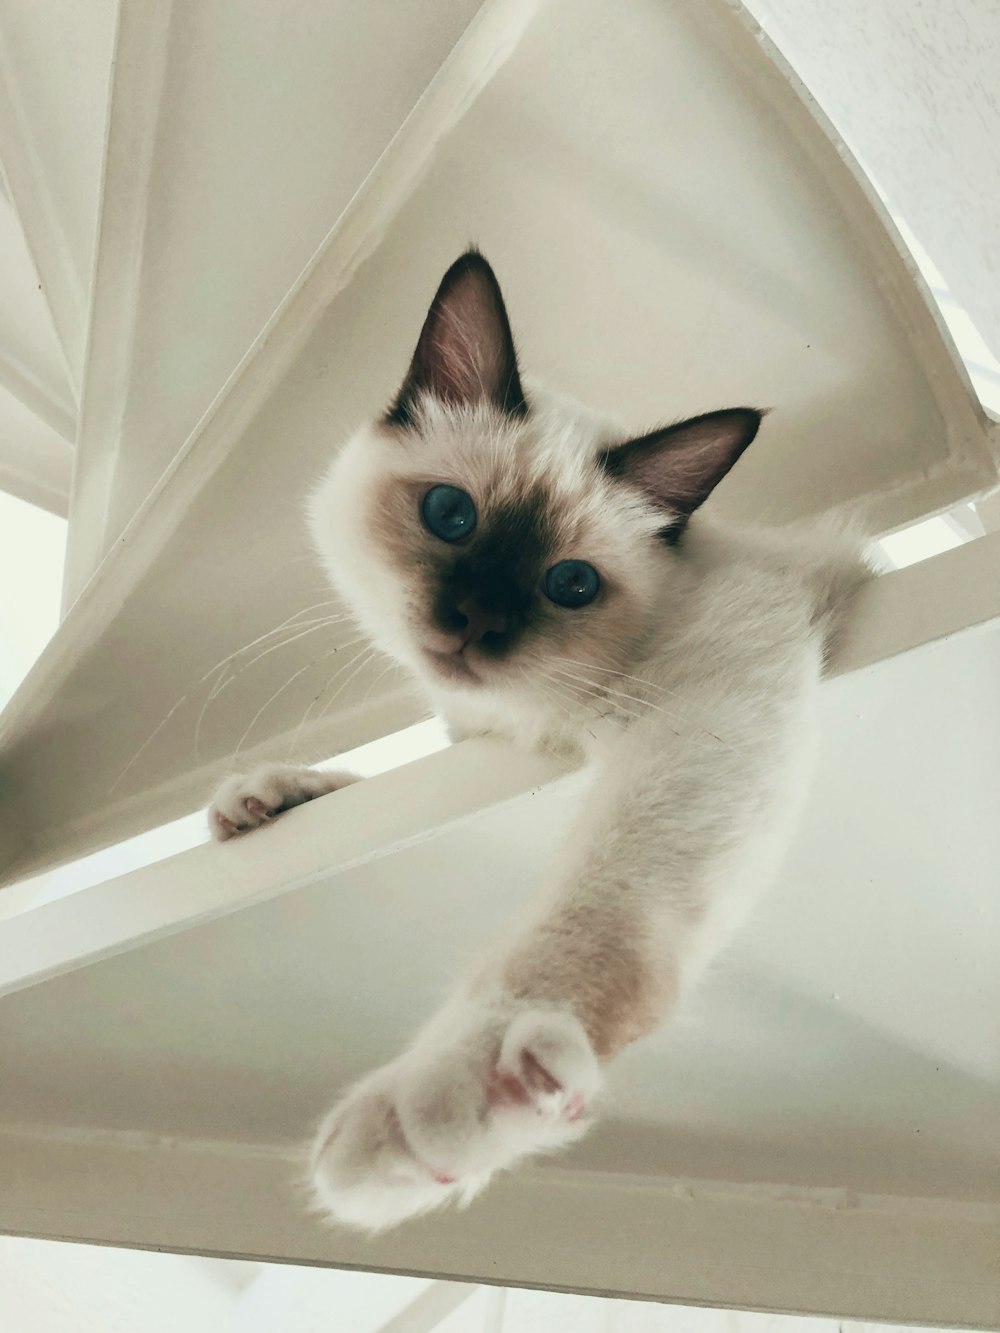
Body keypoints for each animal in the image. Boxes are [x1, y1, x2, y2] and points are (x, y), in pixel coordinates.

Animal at [209, 247, 869, 1226]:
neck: (521, 721)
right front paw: (272, 798)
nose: (475, 622)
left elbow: (585, 928)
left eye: (570, 585)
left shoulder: (705, 713)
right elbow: (364, 779)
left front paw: (434, 1118)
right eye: (450, 515)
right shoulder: (468, 738)